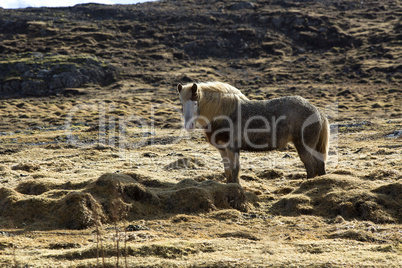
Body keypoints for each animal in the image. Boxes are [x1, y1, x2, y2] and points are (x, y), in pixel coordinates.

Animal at [177, 81, 328, 184]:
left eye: (195, 103)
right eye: (182, 104)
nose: (188, 126)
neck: (223, 114)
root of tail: (317, 111)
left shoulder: (232, 148)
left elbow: (235, 170)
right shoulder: (222, 149)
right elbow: (227, 170)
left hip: (303, 146)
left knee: (312, 167)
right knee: (319, 165)